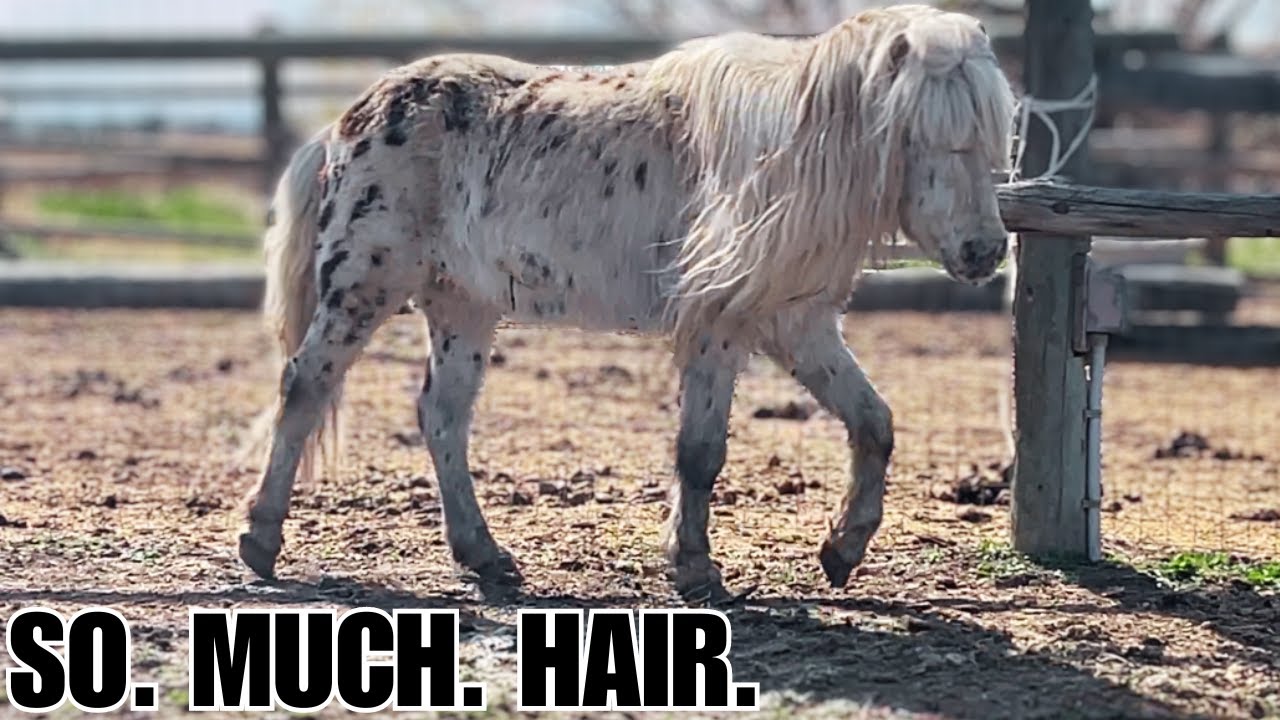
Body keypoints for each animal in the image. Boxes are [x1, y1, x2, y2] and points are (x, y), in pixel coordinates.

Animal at [239, 3, 1016, 602]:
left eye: (987, 139)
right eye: (923, 133)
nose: (984, 251)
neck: (781, 155)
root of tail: (347, 122)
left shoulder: (798, 323)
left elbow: (874, 423)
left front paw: (841, 551)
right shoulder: (718, 324)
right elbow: (700, 452)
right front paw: (696, 571)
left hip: (463, 306)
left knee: (442, 417)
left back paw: (486, 559)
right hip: (365, 287)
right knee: (305, 386)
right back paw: (261, 540)